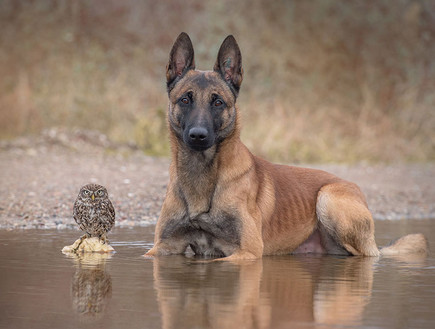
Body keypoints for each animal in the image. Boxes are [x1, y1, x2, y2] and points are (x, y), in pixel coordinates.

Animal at [145, 32, 428, 258]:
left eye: (218, 102)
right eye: (185, 99)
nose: (198, 136)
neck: (201, 177)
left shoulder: (247, 253)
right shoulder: (161, 249)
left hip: (328, 199)